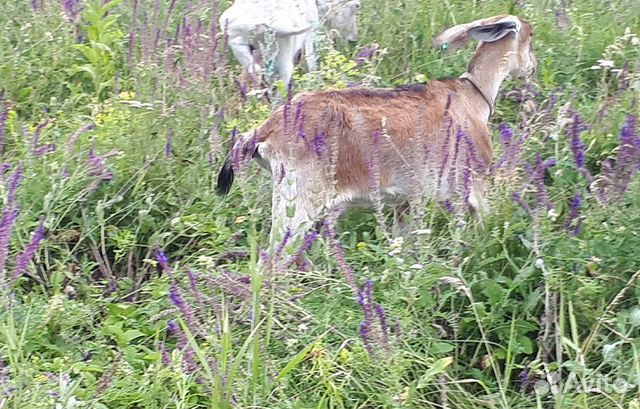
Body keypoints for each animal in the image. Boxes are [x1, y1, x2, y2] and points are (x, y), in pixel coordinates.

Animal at [218, 14, 536, 262]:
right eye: (530, 36)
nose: (532, 67)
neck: (472, 99)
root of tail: (264, 130)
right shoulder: (473, 184)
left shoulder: (406, 201)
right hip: (297, 202)